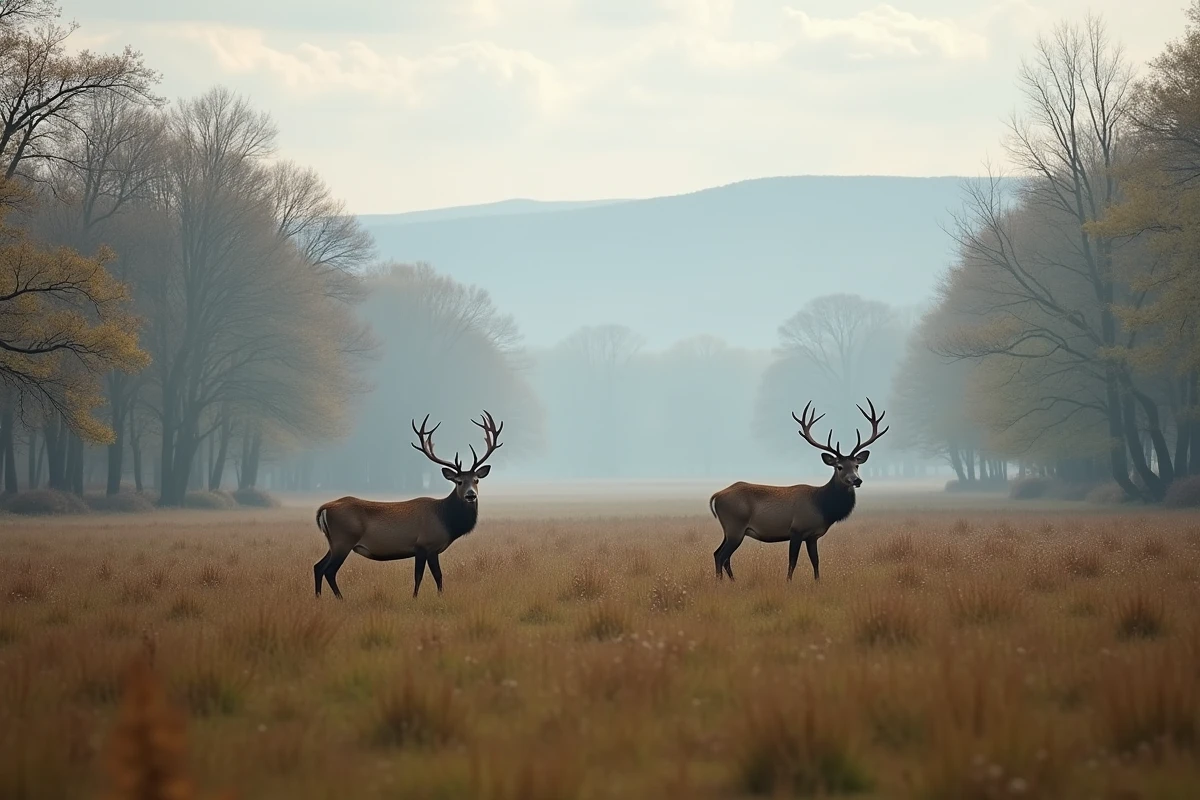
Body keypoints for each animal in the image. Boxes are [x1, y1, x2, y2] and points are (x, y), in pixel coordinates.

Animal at [313, 410, 504, 599]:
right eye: (458, 482)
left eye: (476, 480)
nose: (471, 495)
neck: (445, 520)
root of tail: (323, 509)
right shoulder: (425, 544)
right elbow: (428, 575)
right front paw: (420, 597)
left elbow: (432, 575)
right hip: (344, 539)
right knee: (329, 570)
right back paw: (340, 598)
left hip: (334, 542)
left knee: (318, 566)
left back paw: (318, 597)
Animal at [709, 398, 889, 583]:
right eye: (839, 467)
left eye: (856, 465)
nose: (856, 480)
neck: (822, 506)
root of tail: (717, 495)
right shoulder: (796, 530)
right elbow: (792, 561)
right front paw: (788, 582)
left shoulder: (812, 535)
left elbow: (815, 561)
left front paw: (817, 582)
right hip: (735, 525)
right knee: (721, 555)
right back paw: (720, 582)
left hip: (730, 529)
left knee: (719, 554)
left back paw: (730, 581)